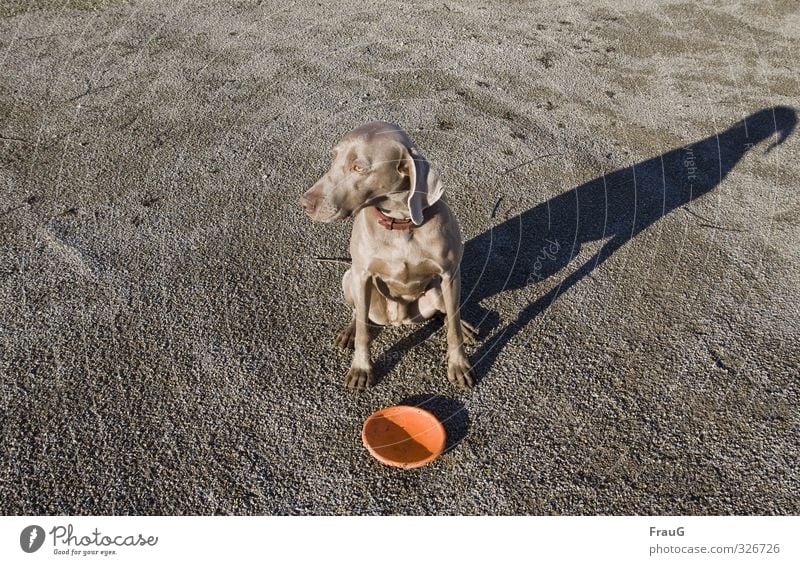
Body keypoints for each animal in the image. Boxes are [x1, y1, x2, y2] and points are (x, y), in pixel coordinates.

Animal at [300, 121, 476, 390]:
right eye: (333, 157)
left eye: (359, 167)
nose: (304, 203)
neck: (401, 223)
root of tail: (398, 320)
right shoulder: (362, 274)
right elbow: (363, 331)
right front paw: (361, 369)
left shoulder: (450, 274)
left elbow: (453, 325)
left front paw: (458, 364)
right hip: (349, 278)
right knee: (358, 313)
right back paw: (350, 331)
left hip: (436, 290)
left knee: (446, 311)